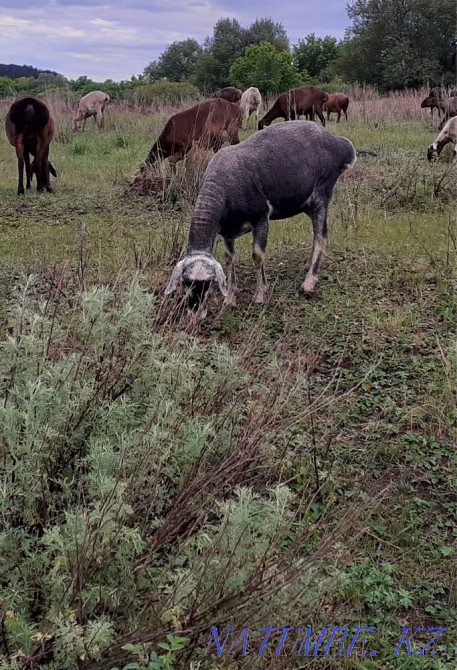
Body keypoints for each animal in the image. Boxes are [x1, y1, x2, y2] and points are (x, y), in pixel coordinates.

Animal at [165, 121, 356, 314]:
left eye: (209, 283)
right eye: (185, 283)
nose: (195, 312)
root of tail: (340, 144)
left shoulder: (261, 218)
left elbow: (257, 255)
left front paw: (260, 295)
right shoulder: (228, 232)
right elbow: (229, 259)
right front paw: (230, 299)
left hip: (321, 198)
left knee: (321, 238)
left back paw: (309, 283)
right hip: (306, 204)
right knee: (315, 235)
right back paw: (307, 266)